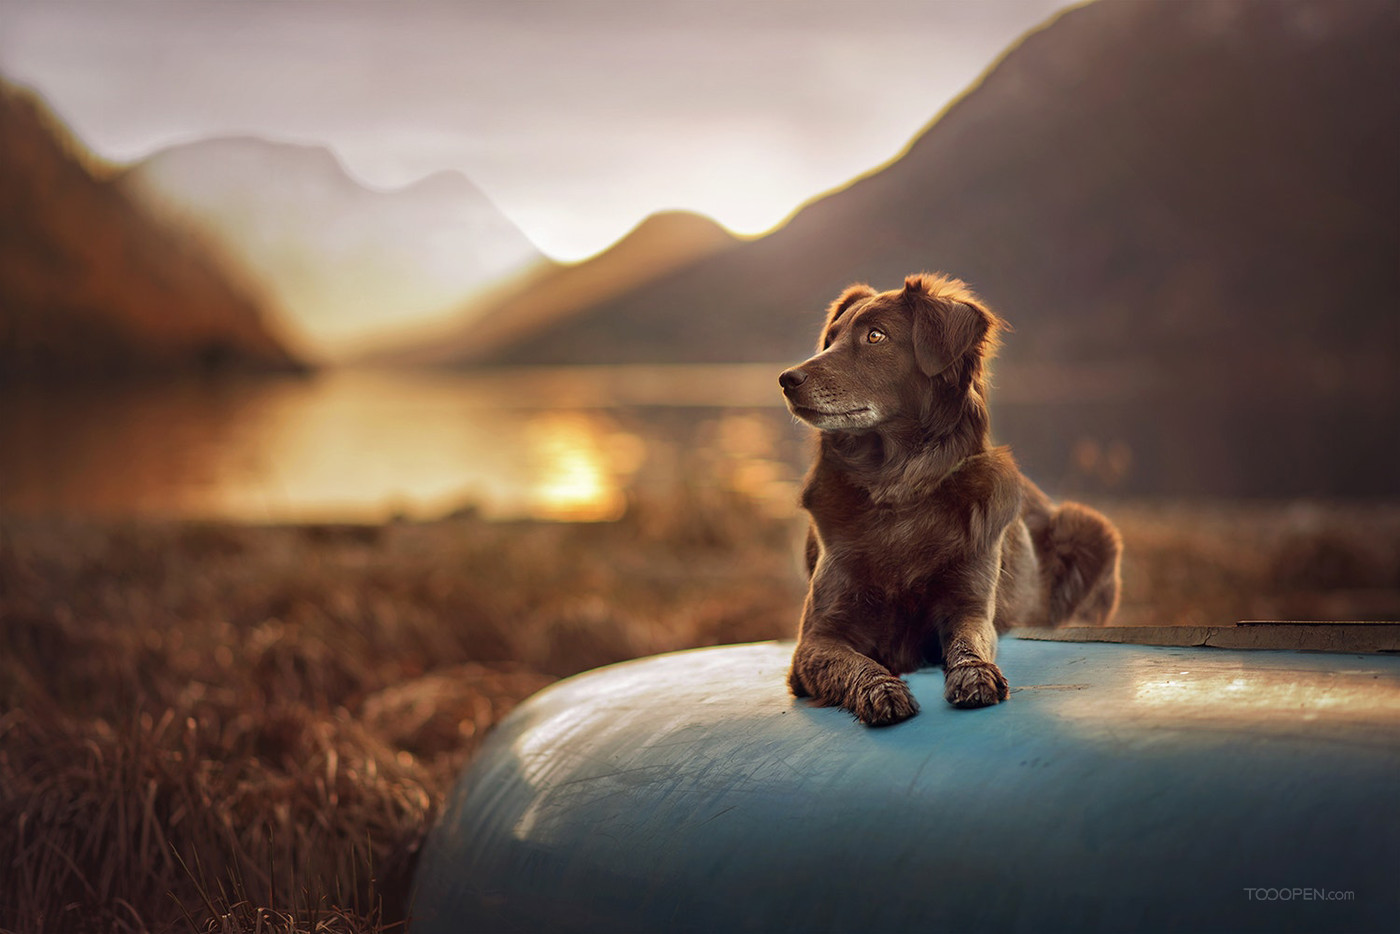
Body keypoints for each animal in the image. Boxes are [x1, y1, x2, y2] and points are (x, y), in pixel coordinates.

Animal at [784, 274, 1120, 728]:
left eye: (876, 336)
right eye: (830, 340)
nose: (786, 379)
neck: (896, 488)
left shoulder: (971, 607)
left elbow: (968, 641)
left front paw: (974, 675)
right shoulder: (816, 639)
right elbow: (855, 663)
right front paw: (881, 689)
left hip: (1090, 529)